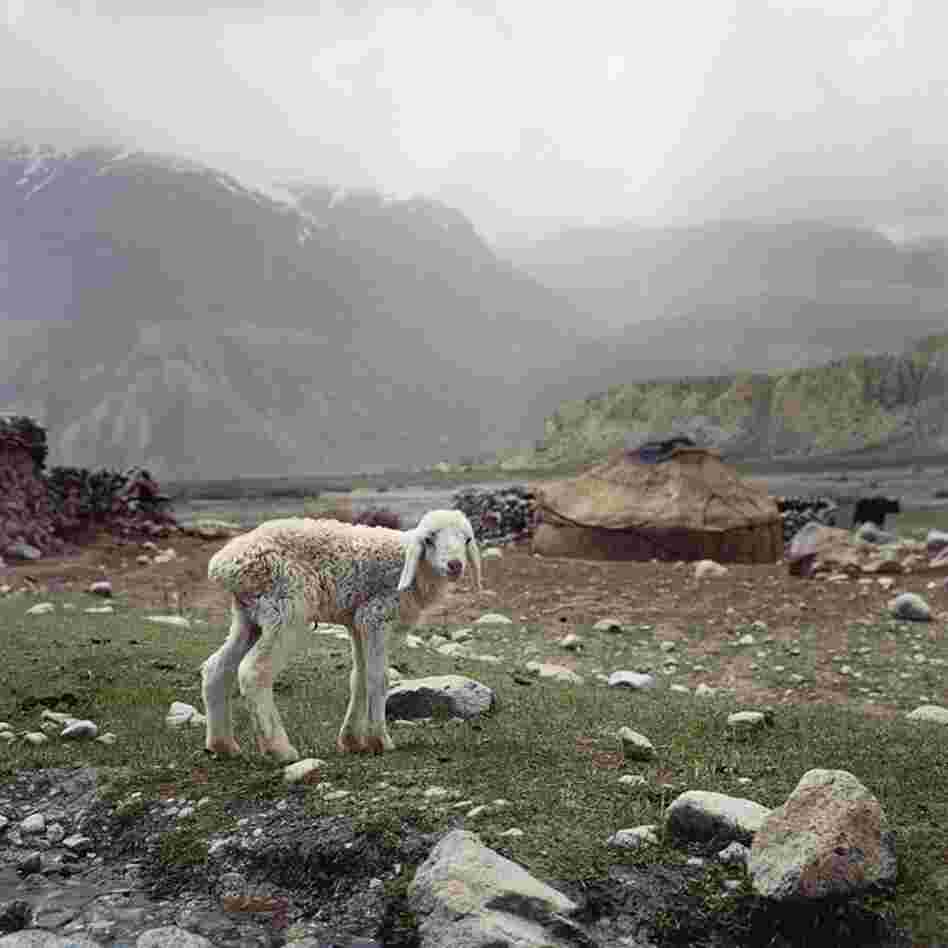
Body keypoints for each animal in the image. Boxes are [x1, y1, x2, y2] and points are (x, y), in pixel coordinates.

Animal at [200, 509, 481, 762]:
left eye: (466, 539)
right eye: (429, 539)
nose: (455, 565)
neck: (412, 569)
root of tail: (223, 565)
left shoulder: (357, 622)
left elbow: (359, 678)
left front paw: (353, 740)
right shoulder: (375, 615)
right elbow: (378, 678)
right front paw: (380, 740)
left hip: (248, 615)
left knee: (216, 668)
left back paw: (223, 745)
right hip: (285, 609)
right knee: (254, 672)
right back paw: (279, 749)